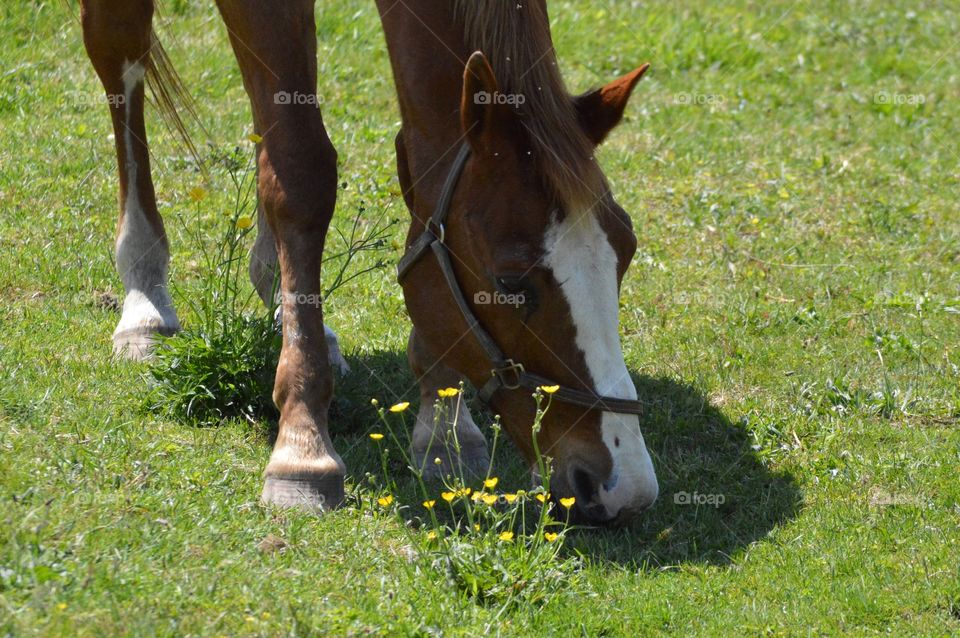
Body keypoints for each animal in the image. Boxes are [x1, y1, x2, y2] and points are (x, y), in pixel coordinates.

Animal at [79, 0, 656, 524]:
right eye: (511, 282)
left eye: (626, 252)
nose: (624, 487)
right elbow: (301, 172)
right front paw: (303, 445)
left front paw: (443, 430)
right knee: (120, 52)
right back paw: (146, 299)